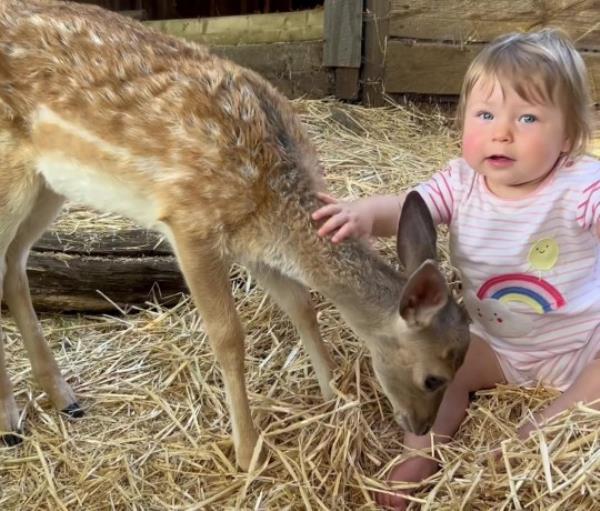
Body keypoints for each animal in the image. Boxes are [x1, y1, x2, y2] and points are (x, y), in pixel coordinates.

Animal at [0, 1, 468, 472]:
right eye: (433, 378)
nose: (421, 427)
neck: (272, 201)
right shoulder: (190, 222)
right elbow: (228, 336)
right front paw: (248, 451)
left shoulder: (256, 248)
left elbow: (302, 305)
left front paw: (336, 397)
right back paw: (11, 423)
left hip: (48, 185)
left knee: (13, 264)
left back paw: (64, 398)